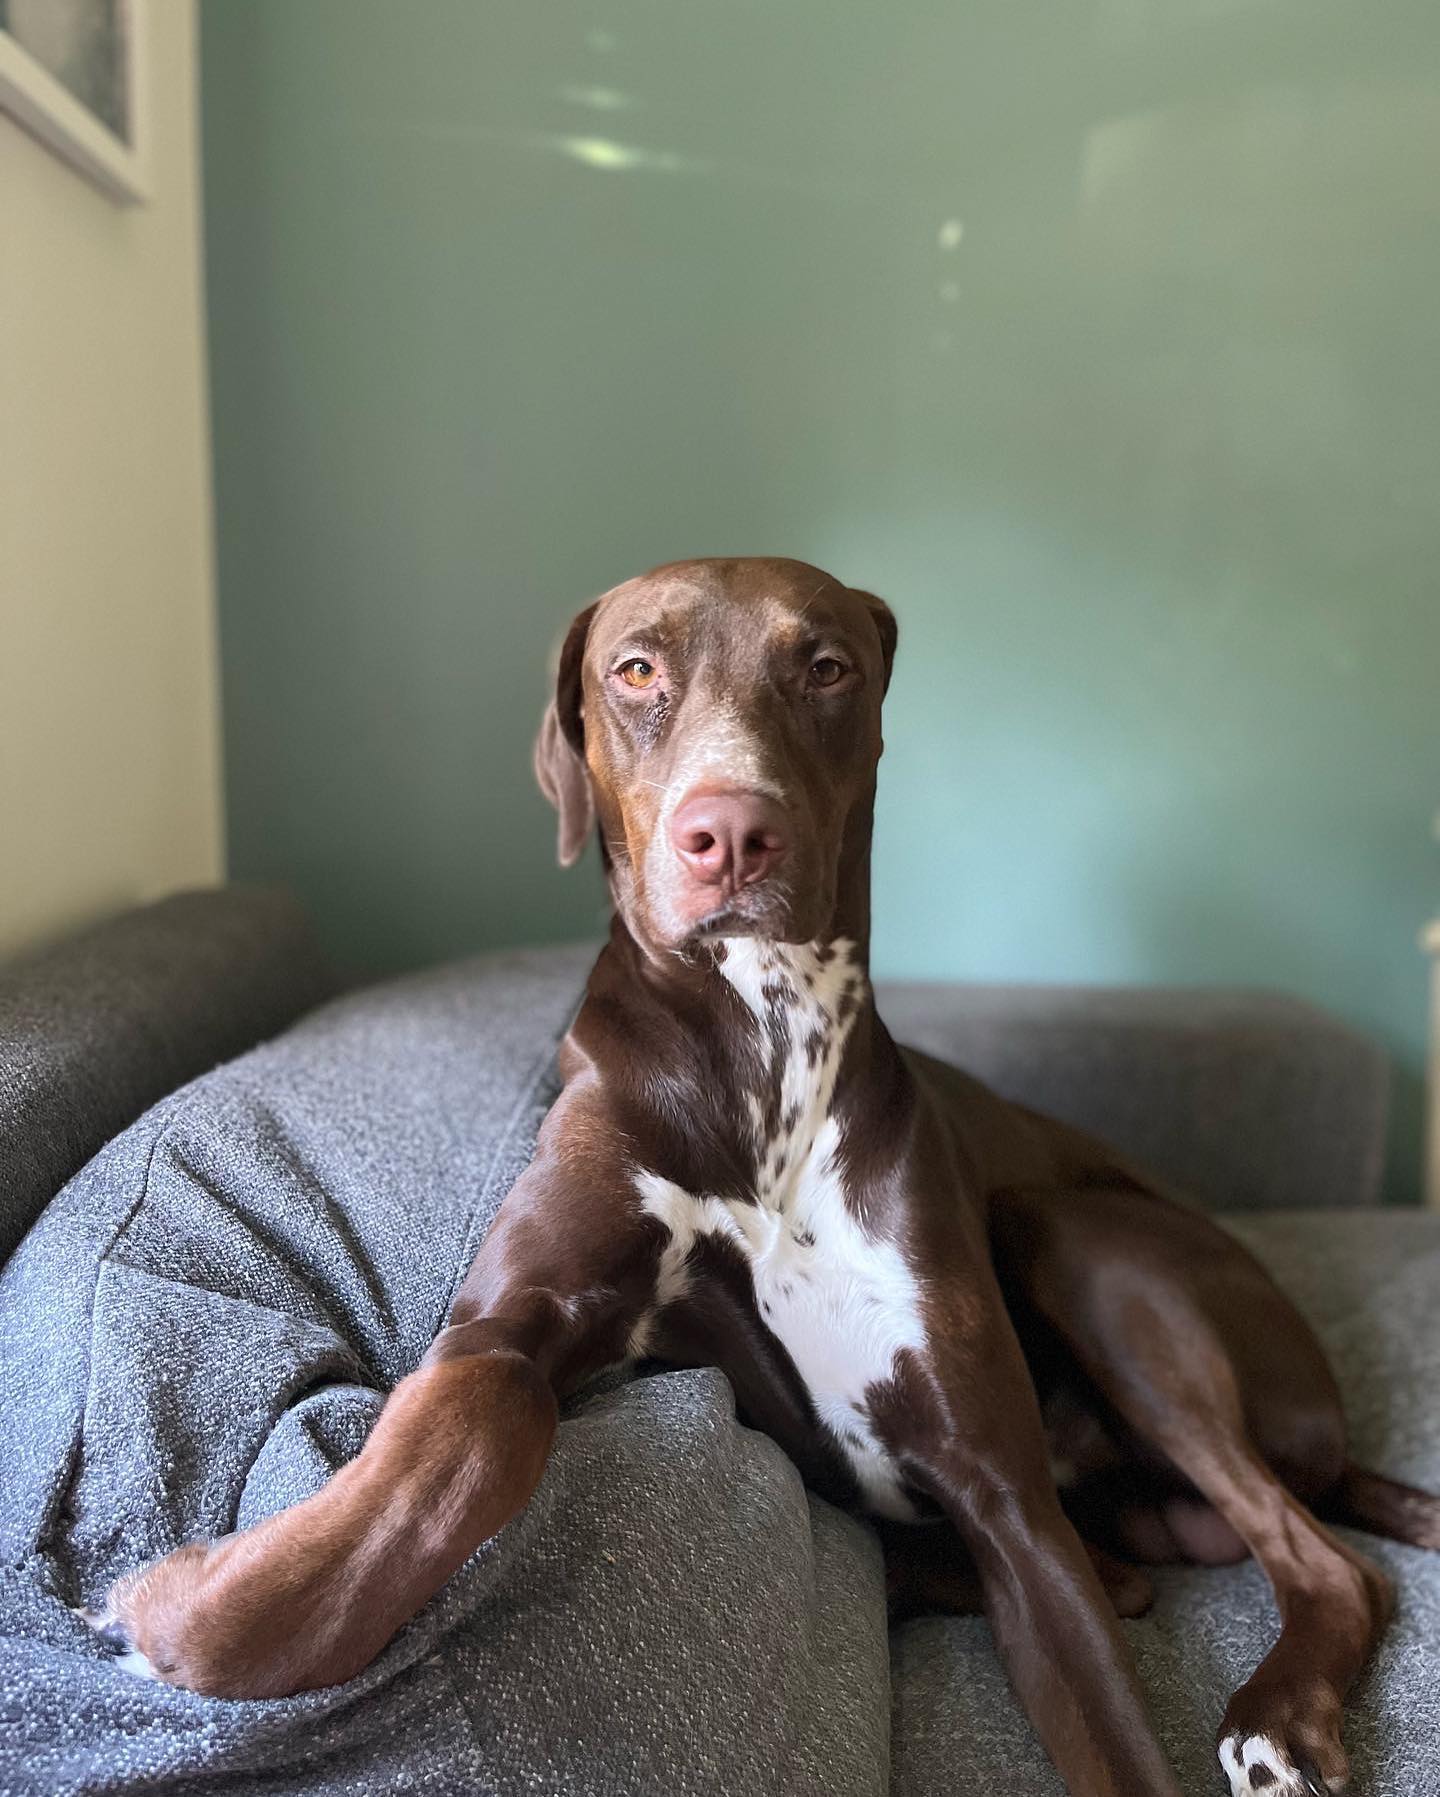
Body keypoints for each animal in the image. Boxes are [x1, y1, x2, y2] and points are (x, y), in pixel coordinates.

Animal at [92, 557, 1438, 1797]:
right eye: (636, 669)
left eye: (826, 666)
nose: (731, 833)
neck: (764, 1046)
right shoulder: (513, 1315)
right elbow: (480, 1425)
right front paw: (203, 1620)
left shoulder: (1008, 1503)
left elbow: (1110, 1729)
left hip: (1084, 1244)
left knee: (1335, 1564)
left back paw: (1276, 1719)